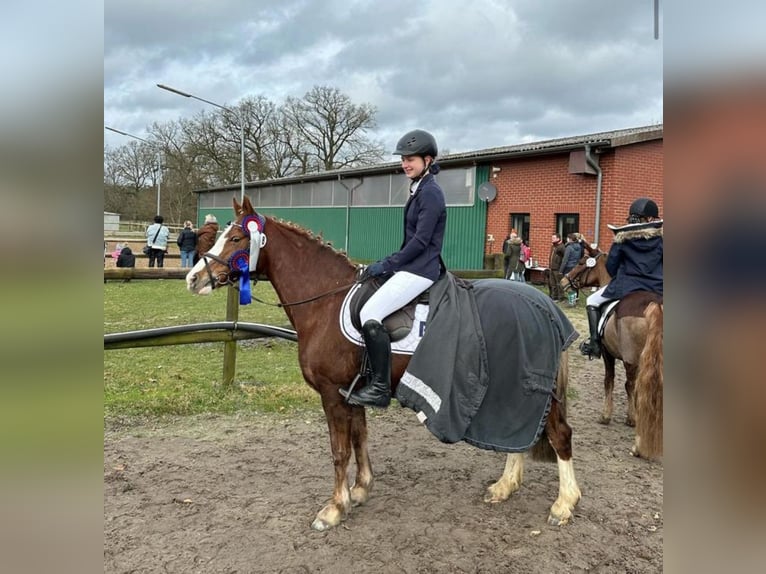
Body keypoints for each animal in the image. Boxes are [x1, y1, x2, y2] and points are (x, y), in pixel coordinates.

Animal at [186, 197, 584, 532]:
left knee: (559, 435)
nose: (193, 278)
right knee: (522, 433)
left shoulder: (332, 394)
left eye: (237, 237)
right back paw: (504, 487)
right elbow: (360, 438)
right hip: (512, 387)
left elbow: (339, 450)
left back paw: (564, 504)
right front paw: (361, 490)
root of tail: (545, 305)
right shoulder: (352, 392)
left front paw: (333, 509)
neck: (325, 301)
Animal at [560, 254, 664, 462]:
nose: (563, 281)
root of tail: (655, 305)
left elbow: (610, 381)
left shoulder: (608, 354)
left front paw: (609, 416)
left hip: (633, 360)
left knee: (636, 388)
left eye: (582, 262)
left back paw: (638, 446)